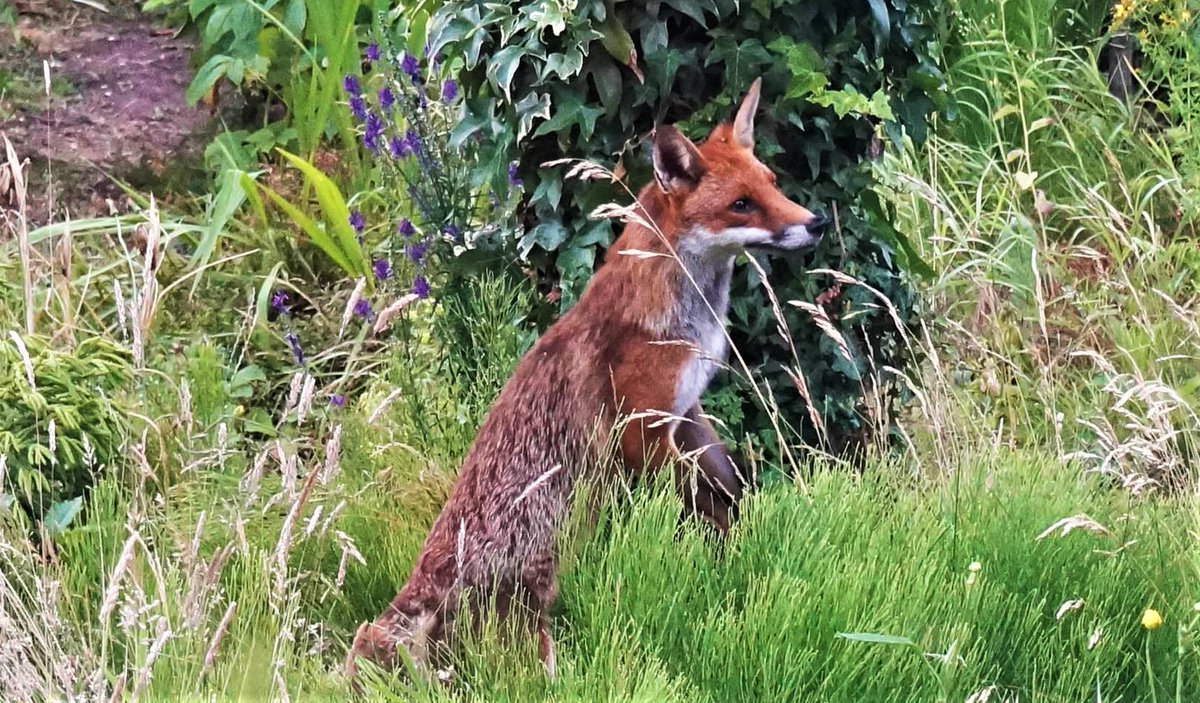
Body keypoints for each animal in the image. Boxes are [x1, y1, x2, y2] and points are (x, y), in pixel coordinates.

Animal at [345, 77, 830, 685]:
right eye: (741, 203)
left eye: (771, 184)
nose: (815, 223)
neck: (688, 317)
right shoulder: (641, 429)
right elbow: (703, 503)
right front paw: (730, 548)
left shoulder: (686, 411)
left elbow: (727, 486)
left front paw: (747, 531)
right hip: (535, 624)